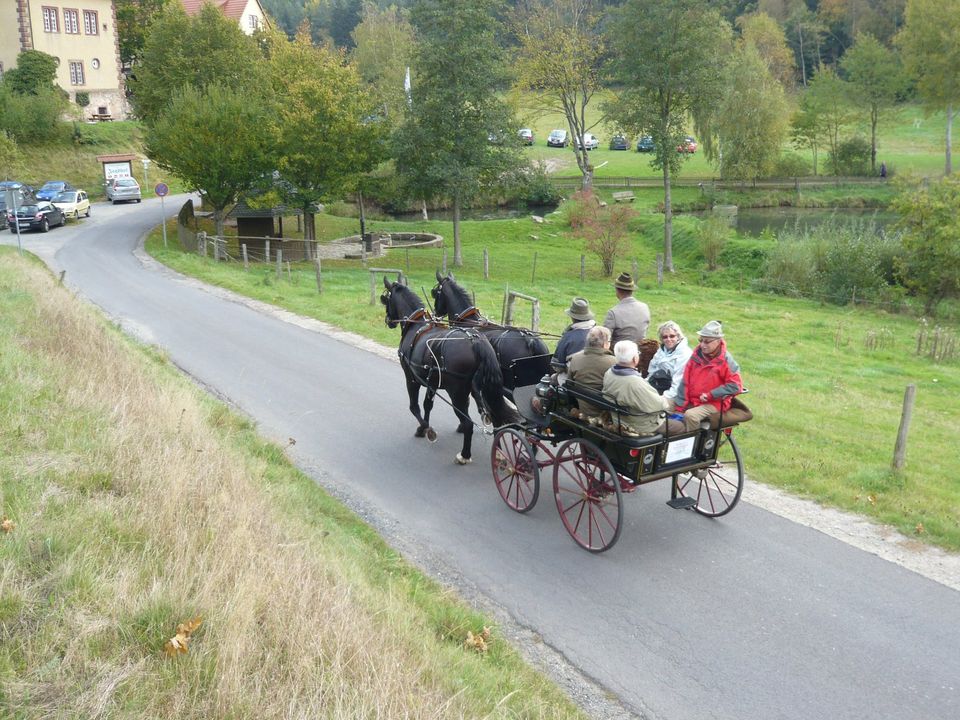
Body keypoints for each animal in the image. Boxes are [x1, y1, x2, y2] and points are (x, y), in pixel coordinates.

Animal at [380, 278, 516, 464]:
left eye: (386, 300)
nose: (389, 321)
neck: (416, 326)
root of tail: (476, 342)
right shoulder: (431, 382)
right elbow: (427, 405)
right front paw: (422, 429)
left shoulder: (411, 379)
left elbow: (414, 407)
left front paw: (428, 430)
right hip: (485, 390)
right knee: (495, 419)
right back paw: (500, 454)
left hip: (456, 393)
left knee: (468, 423)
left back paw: (464, 455)